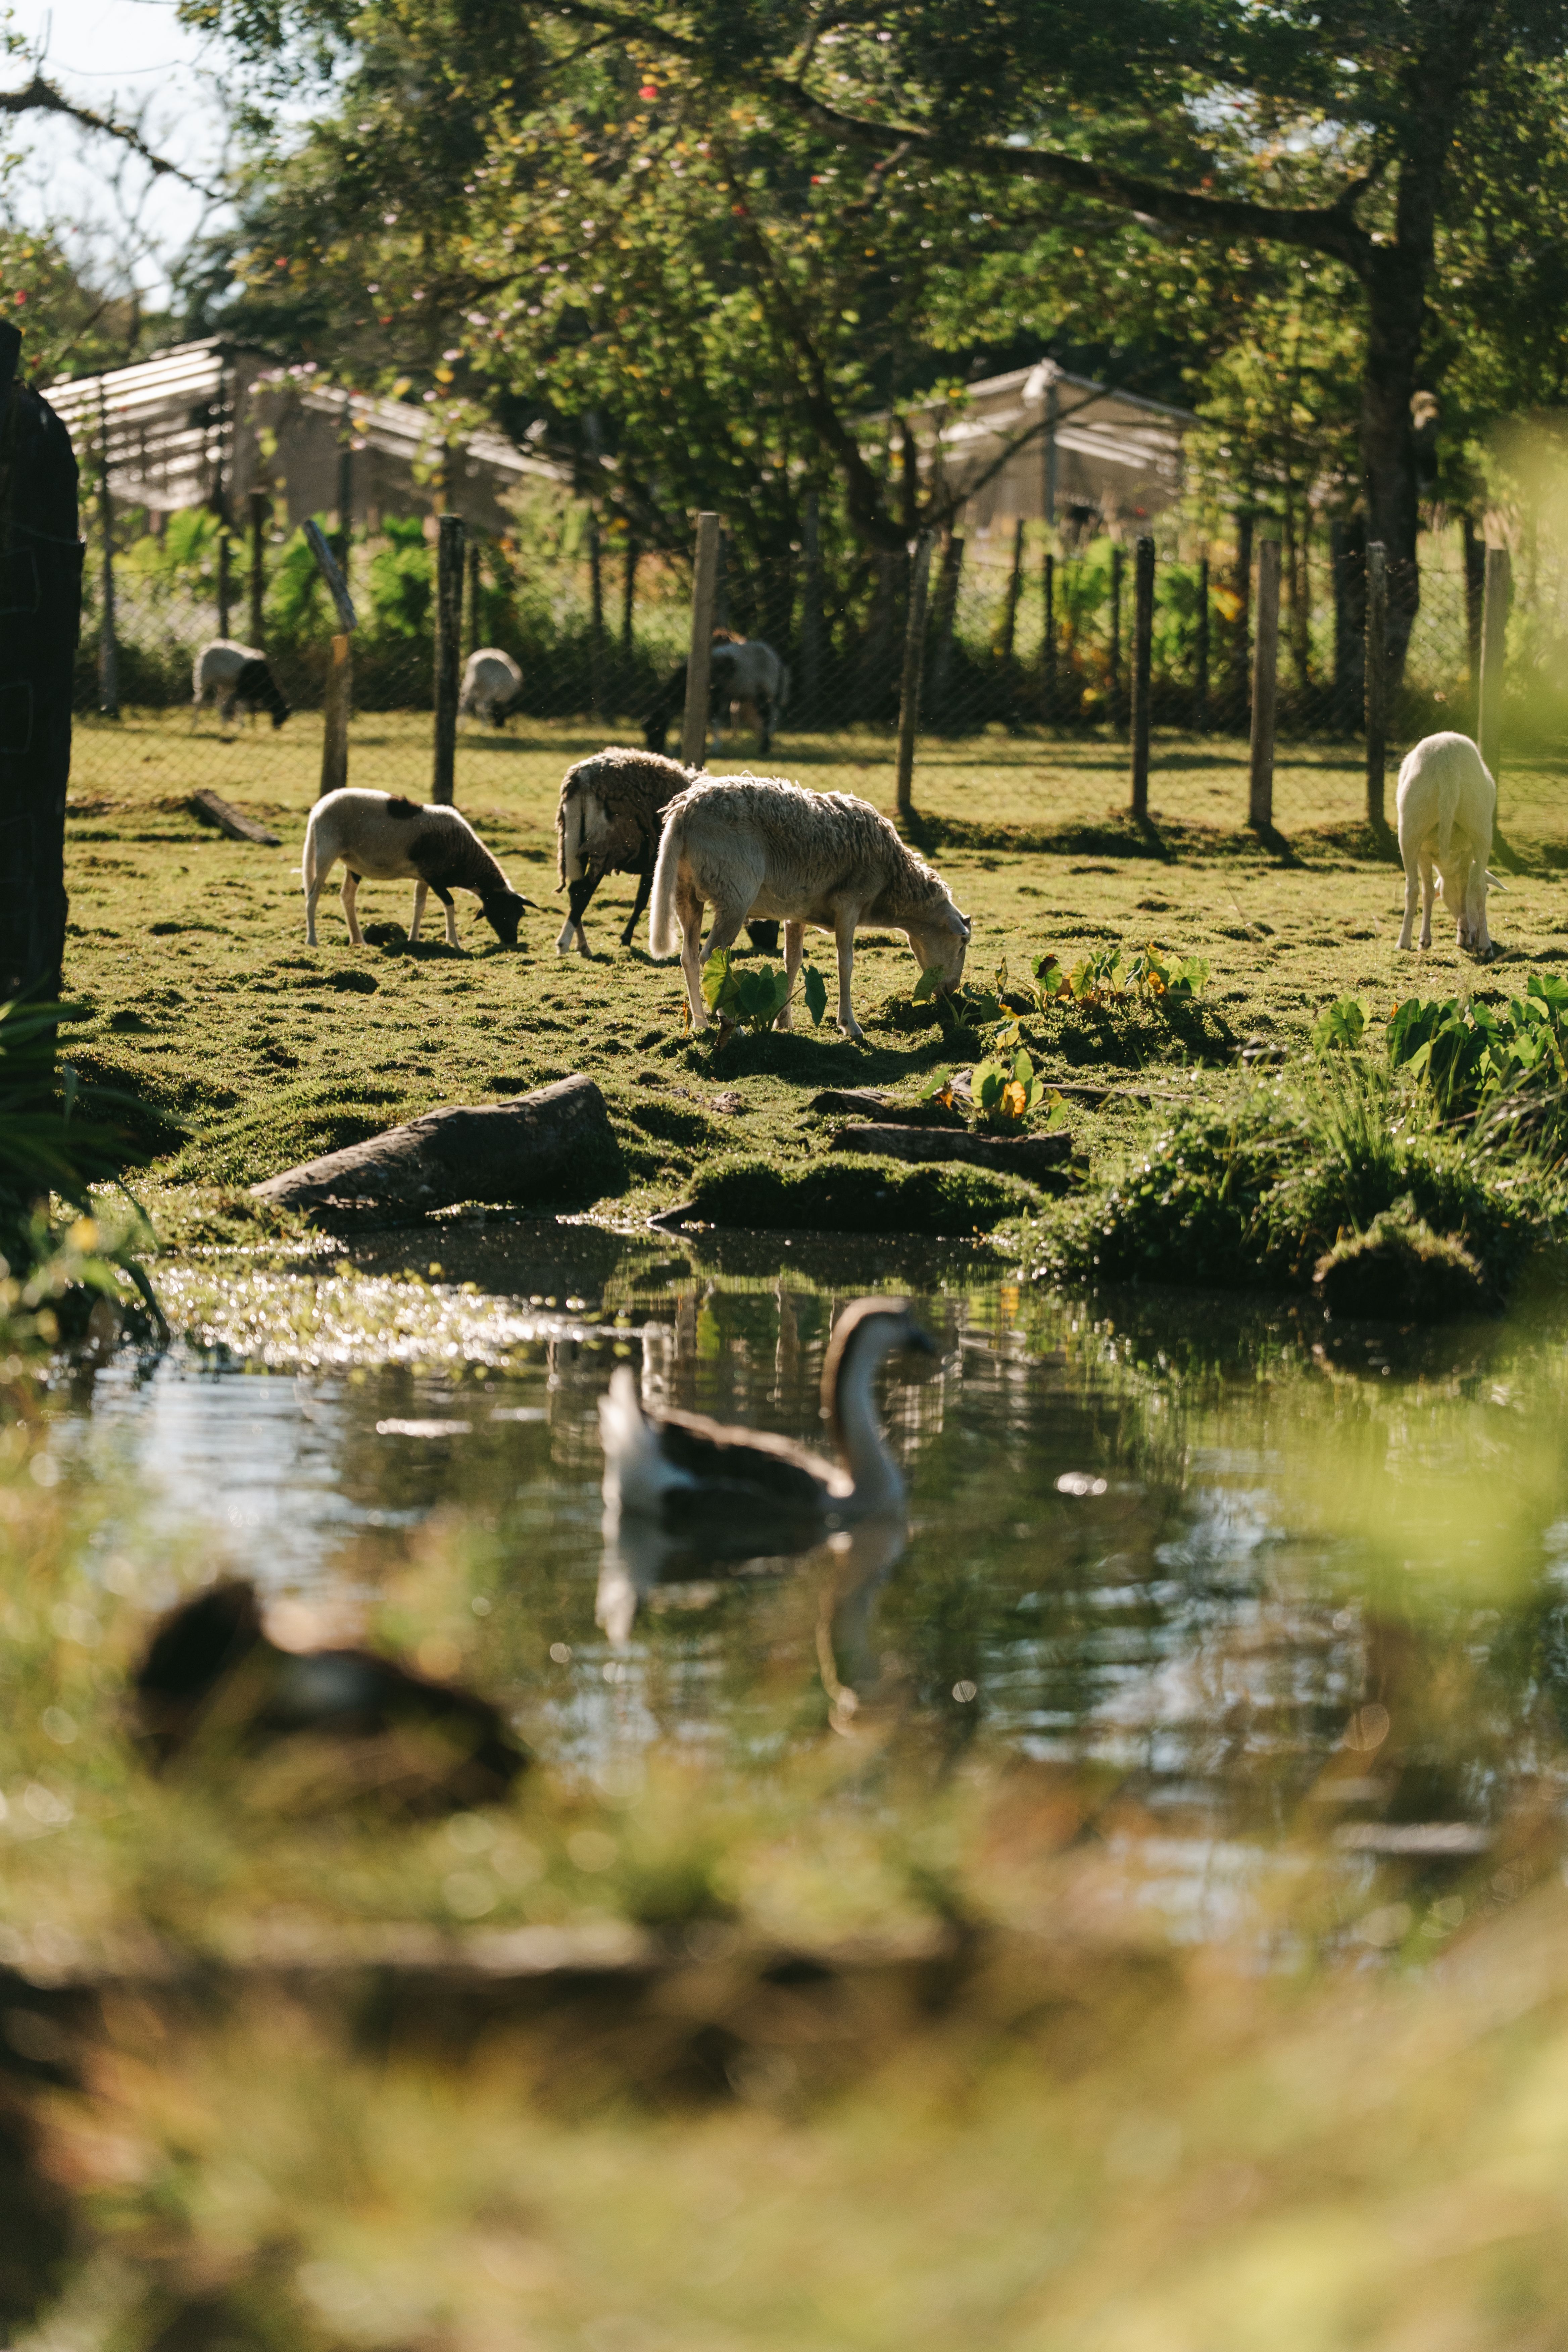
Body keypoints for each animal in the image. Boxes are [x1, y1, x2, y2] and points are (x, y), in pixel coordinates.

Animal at [191, 639, 290, 732]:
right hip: (202, 680)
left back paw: (224, 724)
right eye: (280, 713)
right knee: (198, 702)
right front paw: (241, 726)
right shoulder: (243, 690)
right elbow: (241, 707)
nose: (277, 728)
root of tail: (204, 649)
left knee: (220, 703)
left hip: (224, 685)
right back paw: (195, 725)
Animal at [303, 788, 535, 949]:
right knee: (313, 895)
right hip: (327, 851)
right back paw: (312, 941)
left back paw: (359, 941)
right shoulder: (434, 878)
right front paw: (454, 942)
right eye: (506, 912)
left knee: (347, 896)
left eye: (521, 913)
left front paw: (413, 939)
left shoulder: (424, 877)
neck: (467, 859)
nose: (512, 942)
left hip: (353, 863)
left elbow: (419, 906)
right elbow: (449, 904)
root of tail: (319, 808)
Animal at [459, 647, 523, 728]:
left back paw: (461, 726)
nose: (499, 726)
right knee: (482, 706)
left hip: (468, 685)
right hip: (489, 689)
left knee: (464, 704)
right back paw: (484, 727)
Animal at [648, 775, 971, 1040]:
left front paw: (783, 1021)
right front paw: (850, 1025)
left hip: (686, 893)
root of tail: (683, 811)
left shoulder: (796, 913)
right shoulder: (849, 904)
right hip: (735, 894)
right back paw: (732, 1024)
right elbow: (846, 963)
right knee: (711, 958)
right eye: (962, 942)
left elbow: (792, 963)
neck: (892, 883)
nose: (951, 990)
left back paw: (701, 1023)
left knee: (689, 958)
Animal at [1396, 731, 1497, 959]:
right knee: (1477, 886)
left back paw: (1403, 942)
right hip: (1480, 825)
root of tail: (1448, 763)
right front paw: (1463, 935)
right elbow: (1463, 887)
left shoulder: (1424, 852)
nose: (1473, 933)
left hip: (1410, 827)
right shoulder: (1467, 852)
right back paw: (1485, 945)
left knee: (1412, 888)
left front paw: (1425, 940)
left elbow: (1428, 892)